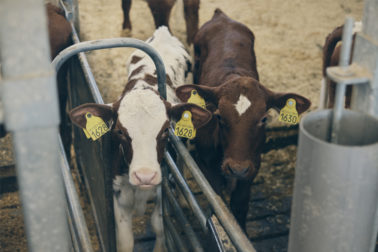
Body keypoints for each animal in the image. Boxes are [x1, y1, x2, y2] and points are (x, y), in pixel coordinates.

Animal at [68, 26, 210, 251]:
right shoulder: (118, 197)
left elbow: (160, 228)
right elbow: (125, 240)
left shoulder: (162, 192)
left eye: (165, 130)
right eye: (119, 132)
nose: (145, 176)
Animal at [176, 8, 312, 230]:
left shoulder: (253, 163)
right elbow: (219, 204)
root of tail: (220, 16)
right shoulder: (206, 163)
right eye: (219, 117)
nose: (237, 169)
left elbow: (239, 204)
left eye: (264, 119)